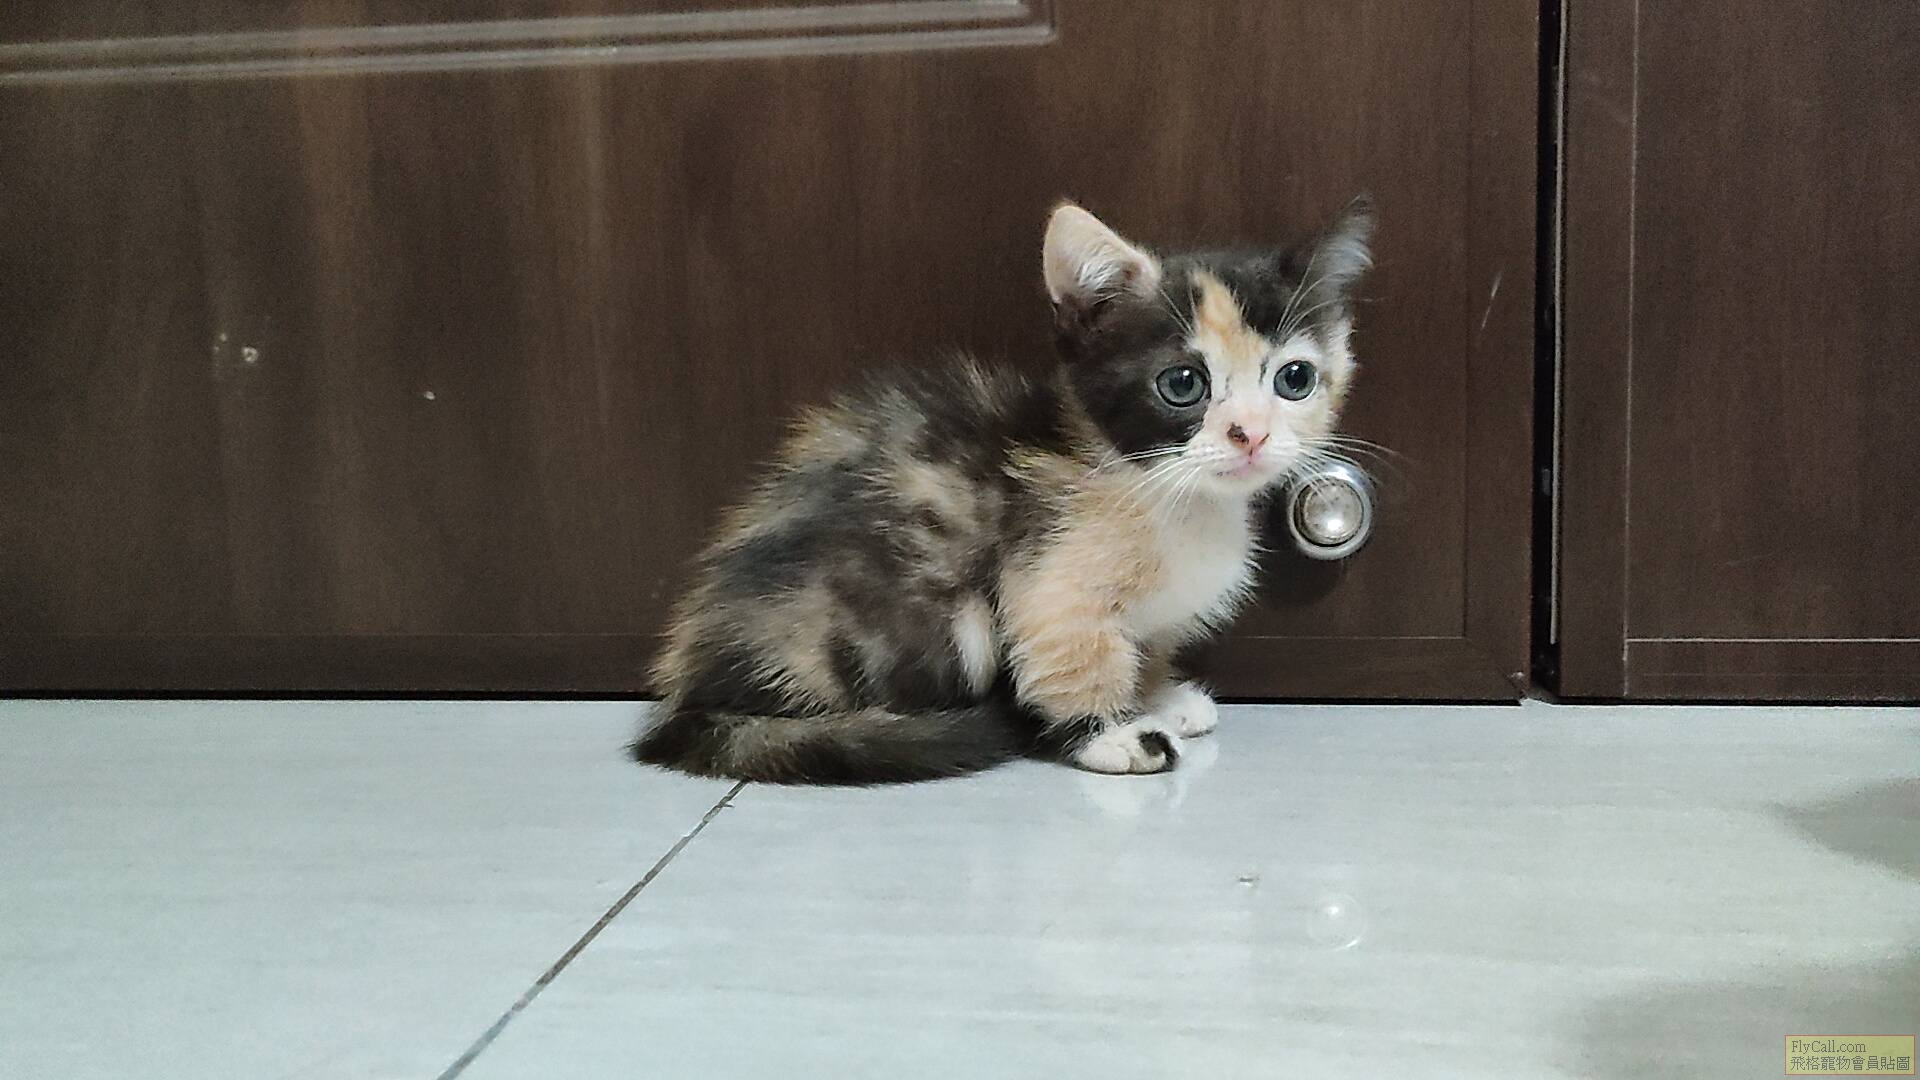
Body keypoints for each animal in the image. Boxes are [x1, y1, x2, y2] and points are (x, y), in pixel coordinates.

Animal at [633, 199, 1374, 785]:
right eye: (1183, 383)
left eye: (1296, 378)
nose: (1251, 435)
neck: (1160, 487)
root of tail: (689, 694)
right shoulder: (1047, 565)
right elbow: (1070, 647)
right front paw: (1113, 733)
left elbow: (1147, 641)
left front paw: (1158, 696)